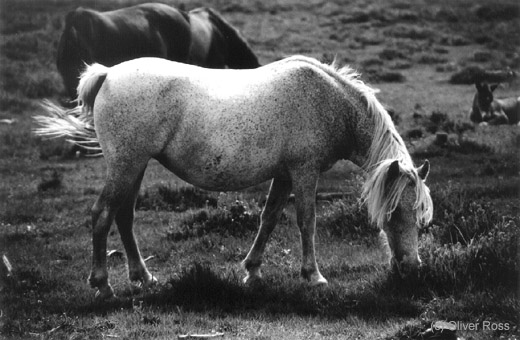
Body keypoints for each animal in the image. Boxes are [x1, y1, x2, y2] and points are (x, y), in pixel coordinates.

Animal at [33, 56, 430, 300]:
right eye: (397, 211)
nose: (412, 267)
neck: (328, 99)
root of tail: (109, 74)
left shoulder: (284, 175)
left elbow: (269, 218)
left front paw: (252, 271)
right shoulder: (304, 172)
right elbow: (307, 221)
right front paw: (313, 276)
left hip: (135, 167)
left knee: (124, 218)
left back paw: (143, 277)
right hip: (126, 165)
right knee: (102, 215)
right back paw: (102, 285)